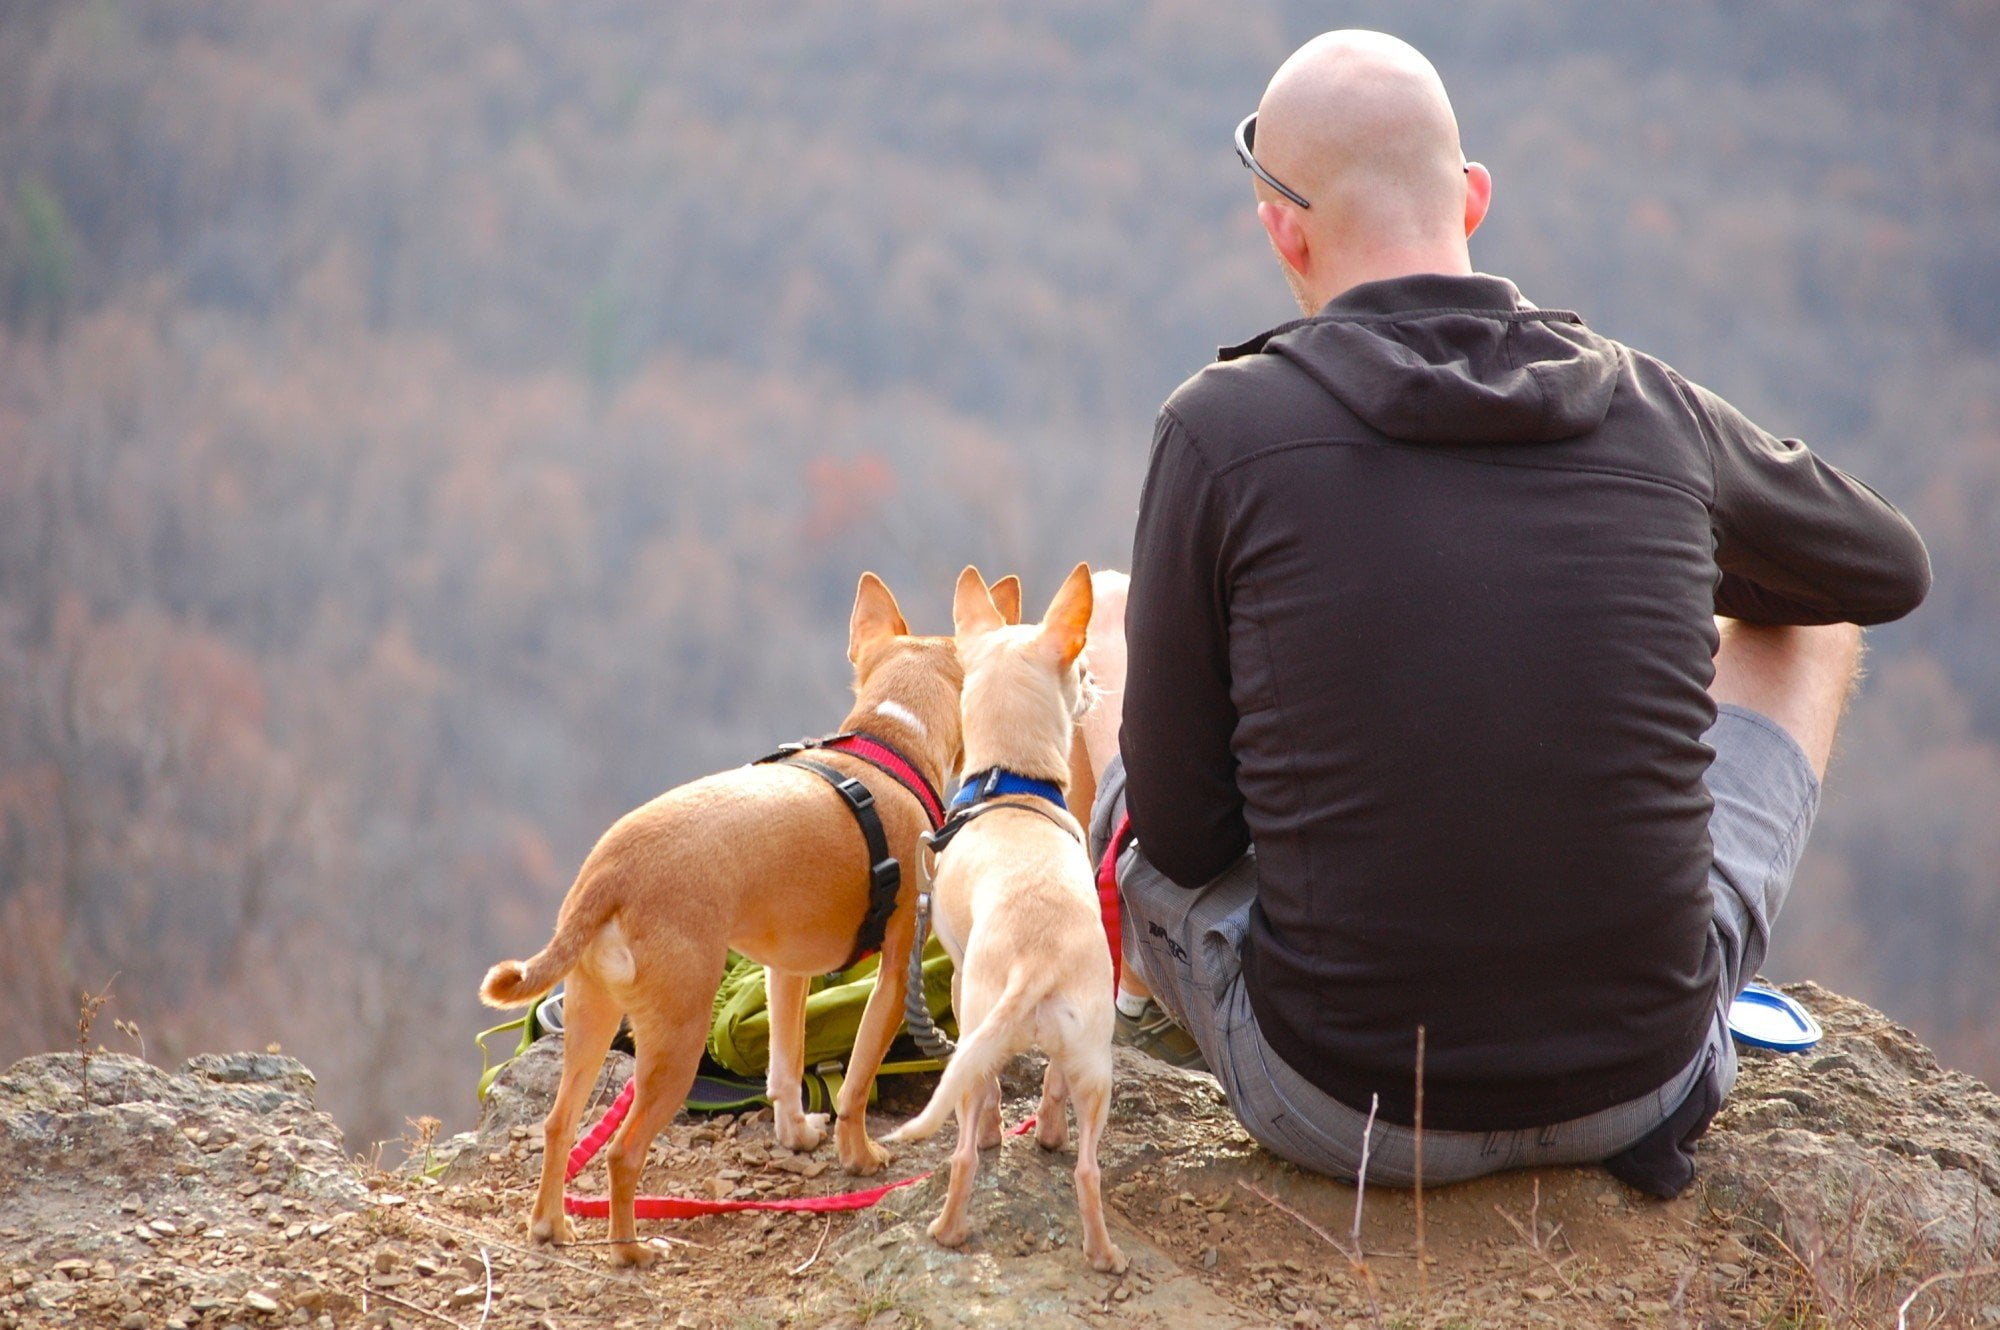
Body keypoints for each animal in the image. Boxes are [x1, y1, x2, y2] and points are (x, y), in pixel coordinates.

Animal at [484, 576, 976, 1264]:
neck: (888, 744)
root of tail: (610, 872)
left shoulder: (786, 971)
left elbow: (786, 1066)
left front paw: (797, 1135)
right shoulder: (894, 974)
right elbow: (855, 1082)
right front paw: (858, 1156)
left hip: (592, 1017)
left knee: (559, 1125)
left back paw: (552, 1226)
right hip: (676, 1041)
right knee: (621, 1153)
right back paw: (632, 1251)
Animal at [888, 560, 1128, 1264]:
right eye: (1082, 669)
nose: (1096, 682)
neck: (1009, 781)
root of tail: (1036, 961)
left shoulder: (957, 974)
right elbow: (1045, 1092)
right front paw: (1037, 1130)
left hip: (976, 1033)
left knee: (967, 1147)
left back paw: (948, 1228)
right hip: (1094, 1061)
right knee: (1086, 1166)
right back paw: (1102, 1252)